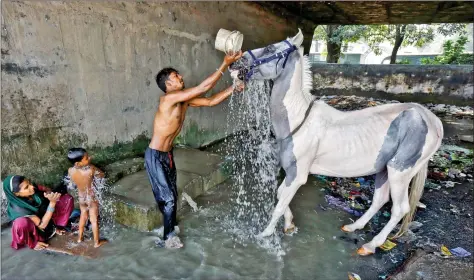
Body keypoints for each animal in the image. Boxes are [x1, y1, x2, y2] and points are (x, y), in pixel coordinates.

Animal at [230, 29, 444, 255]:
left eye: (271, 48)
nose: (236, 63)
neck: (299, 119)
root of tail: (432, 120)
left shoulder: (298, 175)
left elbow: (279, 203)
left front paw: (265, 234)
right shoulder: (290, 172)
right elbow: (281, 195)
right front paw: (289, 225)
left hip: (400, 172)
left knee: (399, 209)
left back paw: (371, 245)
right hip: (384, 170)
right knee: (380, 200)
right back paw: (354, 226)